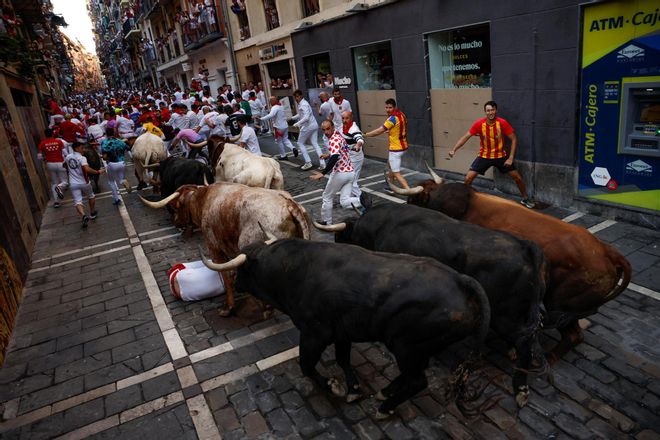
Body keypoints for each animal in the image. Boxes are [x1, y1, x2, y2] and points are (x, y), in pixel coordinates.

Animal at [141, 183, 310, 316]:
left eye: (175, 207)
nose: (174, 221)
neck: (204, 199)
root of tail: (289, 204)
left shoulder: (215, 249)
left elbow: (226, 277)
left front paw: (229, 307)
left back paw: (266, 308)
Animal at [200, 239, 490, 418]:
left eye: (243, 269)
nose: (235, 283)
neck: (292, 269)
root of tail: (462, 281)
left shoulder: (315, 333)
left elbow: (306, 365)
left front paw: (334, 387)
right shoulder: (343, 332)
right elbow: (342, 359)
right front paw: (354, 389)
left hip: (405, 346)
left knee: (417, 380)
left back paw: (385, 407)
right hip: (419, 349)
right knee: (410, 376)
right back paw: (385, 393)